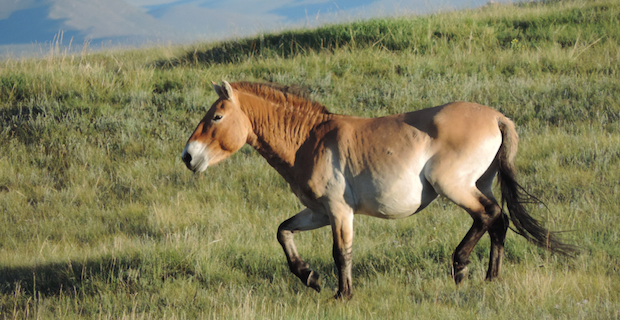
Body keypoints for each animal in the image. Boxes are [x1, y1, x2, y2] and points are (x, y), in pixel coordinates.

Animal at [180, 80, 576, 300]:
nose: (188, 156)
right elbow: (283, 231)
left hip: (454, 185)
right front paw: (309, 277)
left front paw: (342, 294)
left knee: (489, 216)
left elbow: (341, 253)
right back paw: (491, 277)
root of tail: (497, 117)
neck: (309, 140)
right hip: (481, 183)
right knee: (499, 221)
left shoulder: (339, 211)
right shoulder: (318, 212)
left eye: (216, 116)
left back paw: (460, 267)